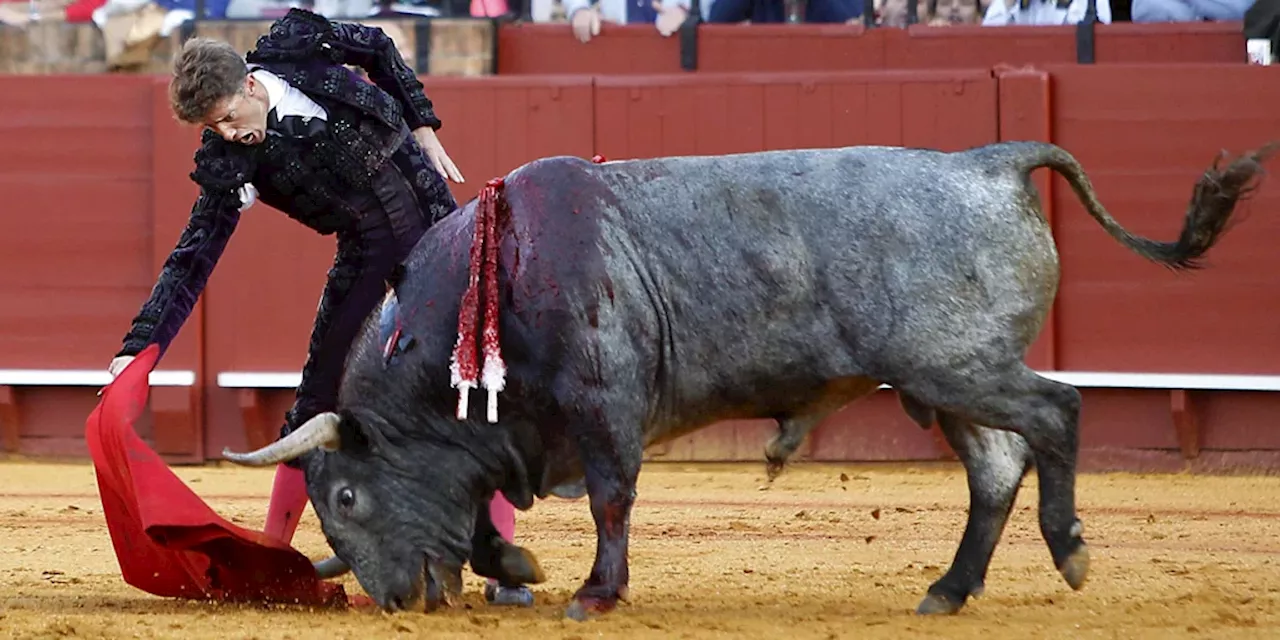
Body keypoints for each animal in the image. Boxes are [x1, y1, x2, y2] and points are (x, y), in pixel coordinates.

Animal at [217, 140, 1269, 619]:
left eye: (346, 497)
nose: (397, 600)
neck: (500, 271)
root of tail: (990, 160)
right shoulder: (511, 435)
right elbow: (480, 515)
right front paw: (516, 566)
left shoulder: (603, 408)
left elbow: (612, 499)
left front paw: (594, 593)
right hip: (947, 380)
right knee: (997, 466)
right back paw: (949, 588)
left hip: (954, 362)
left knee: (1057, 409)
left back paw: (1069, 548)